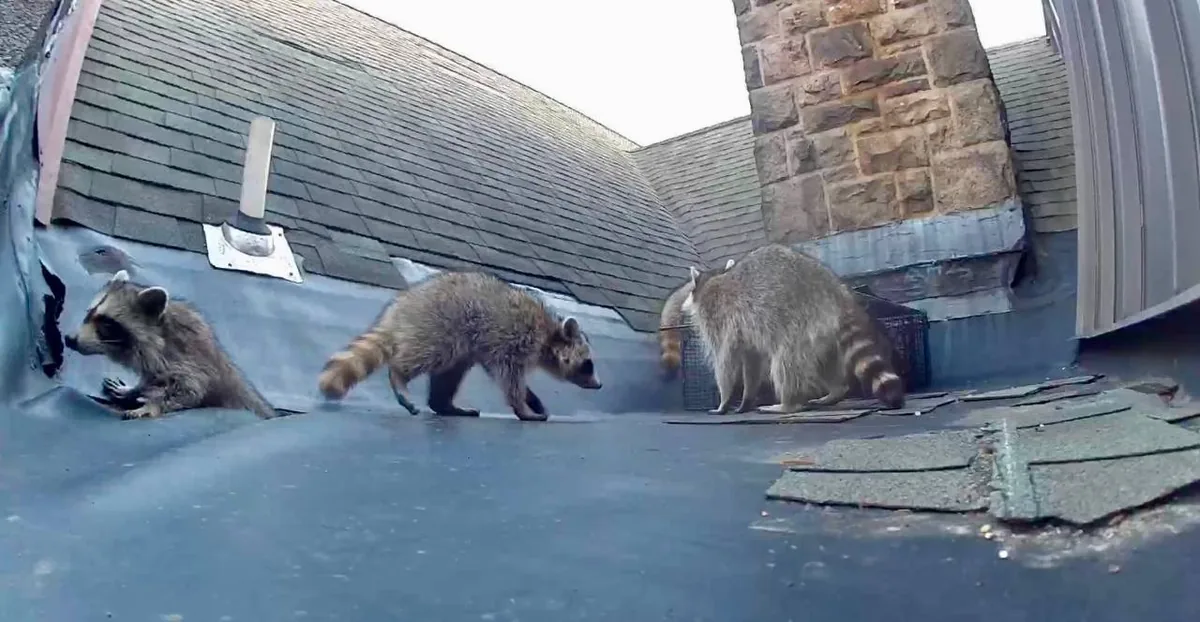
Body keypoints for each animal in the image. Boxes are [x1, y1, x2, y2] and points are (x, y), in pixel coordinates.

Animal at [63, 270, 277, 420]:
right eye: (88, 313)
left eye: (107, 325)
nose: (69, 339)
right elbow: (150, 381)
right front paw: (134, 391)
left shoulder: (189, 363)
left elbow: (190, 392)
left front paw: (152, 406)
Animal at [317, 271, 602, 421]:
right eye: (588, 364)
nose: (599, 385)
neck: (549, 334)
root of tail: (402, 306)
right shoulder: (515, 342)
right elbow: (509, 379)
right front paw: (522, 406)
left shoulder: (497, 349)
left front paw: (531, 398)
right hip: (441, 327)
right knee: (428, 357)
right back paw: (399, 375)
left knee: (449, 375)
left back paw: (444, 405)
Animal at [682, 244, 904, 414]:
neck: (713, 279)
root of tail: (835, 290)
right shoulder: (744, 331)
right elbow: (752, 361)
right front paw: (747, 398)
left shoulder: (718, 319)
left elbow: (725, 362)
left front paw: (724, 400)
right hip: (823, 331)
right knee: (824, 361)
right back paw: (836, 391)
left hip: (799, 321)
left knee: (786, 363)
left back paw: (788, 403)